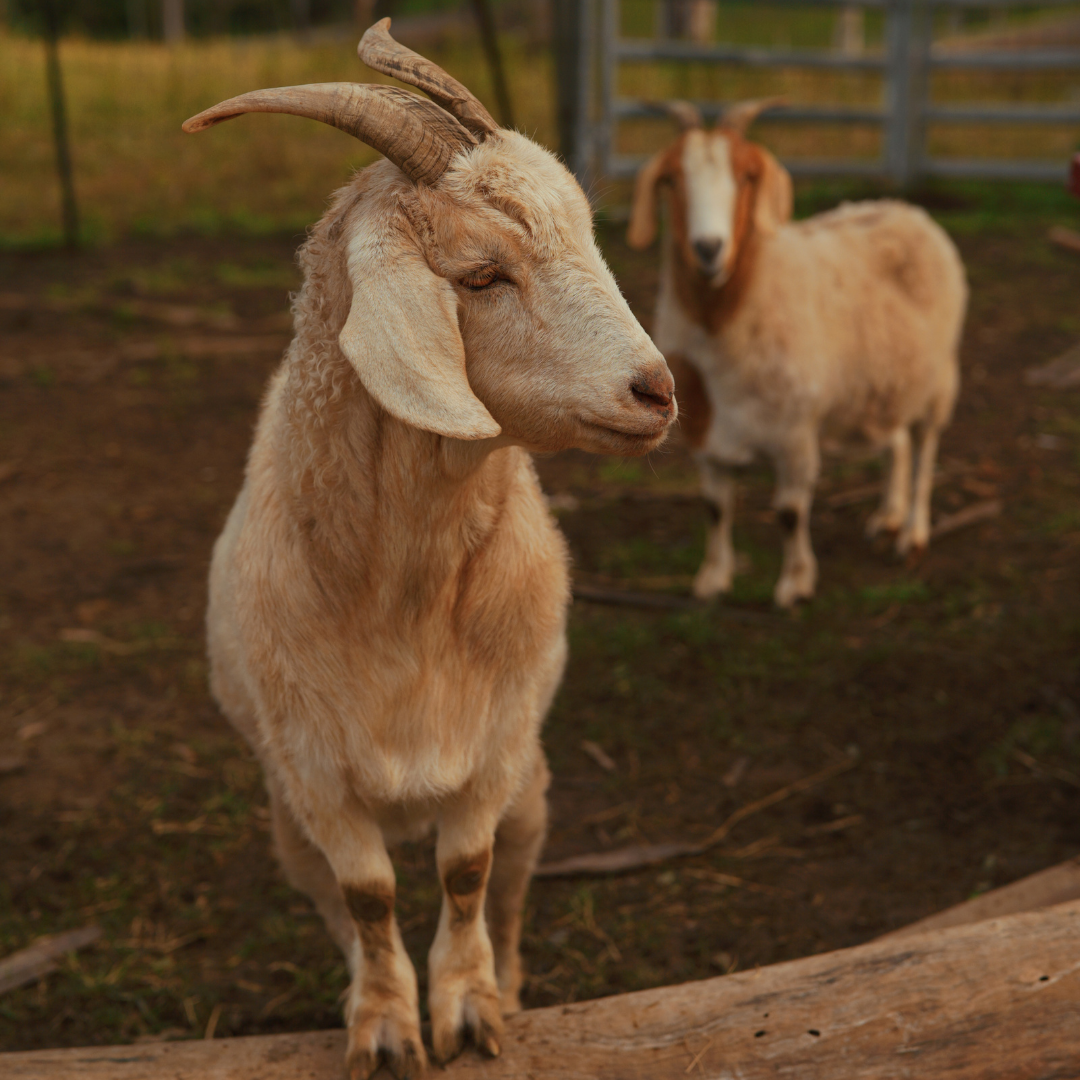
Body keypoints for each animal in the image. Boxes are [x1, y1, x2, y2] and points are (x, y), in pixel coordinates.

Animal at [185, 21, 676, 1079]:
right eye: (483, 275)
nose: (656, 390)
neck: (404, 593)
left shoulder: (496, 750)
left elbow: (468, 870)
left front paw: (470, 1010)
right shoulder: (314, 773)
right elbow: (369, 899)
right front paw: (383, 1025)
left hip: (536, 789)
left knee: (515, 879)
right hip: (285, 824)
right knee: (336, 902)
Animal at [628, 100, 966, 607]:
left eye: (748, 176)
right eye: (670, 179)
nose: (708, 249)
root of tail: (904, 209)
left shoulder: (794, 435)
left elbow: (789, 513)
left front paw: (795, 584)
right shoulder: (706, 436)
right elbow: (715, 507)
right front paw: (712, 579)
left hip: (938, 378)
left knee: (925, 448)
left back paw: (912, 534)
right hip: (886, 382)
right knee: (897, 442)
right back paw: (888, 517)